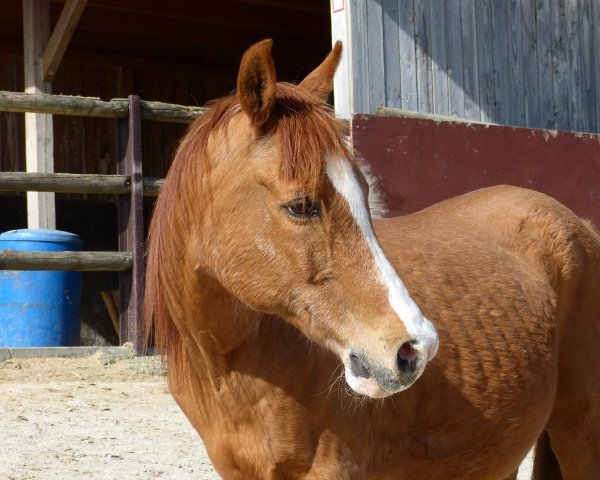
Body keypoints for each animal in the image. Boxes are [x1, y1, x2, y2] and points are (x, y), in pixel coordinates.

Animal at [145, 41, 600, 480]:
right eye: (300, 206)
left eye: (364, 191)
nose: (416, 348)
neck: (232, 371)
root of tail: (577, 225)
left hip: (580, 433)